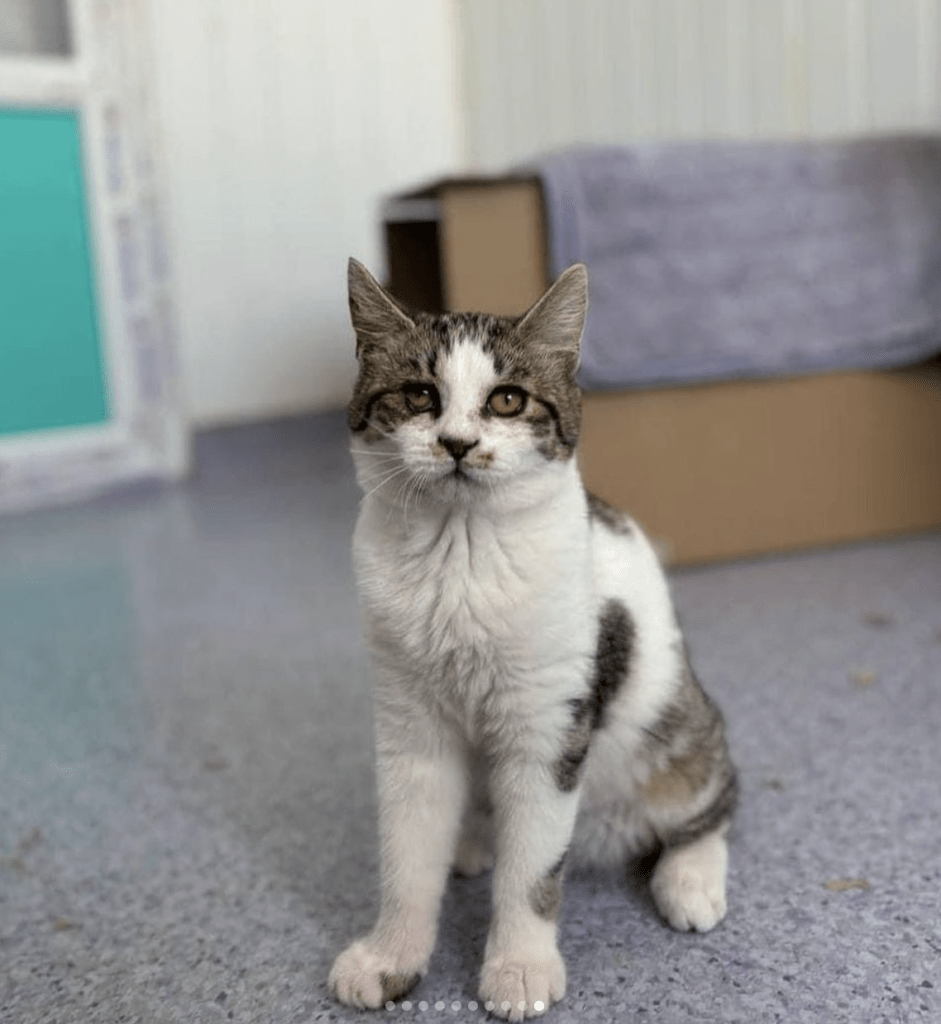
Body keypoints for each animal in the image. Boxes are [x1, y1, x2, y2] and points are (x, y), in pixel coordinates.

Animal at [327, 258, 741, 1015]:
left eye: (508, 401)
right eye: (419, 394)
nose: (458, 443)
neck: (459, 554)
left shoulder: (551, 723)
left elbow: (533, 866)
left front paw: (519, 967)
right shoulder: (408, 720)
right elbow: (406, 849)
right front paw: (391, 955)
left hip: (671, 725)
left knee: (713, 795)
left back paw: (689, 877)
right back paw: (471, 840)